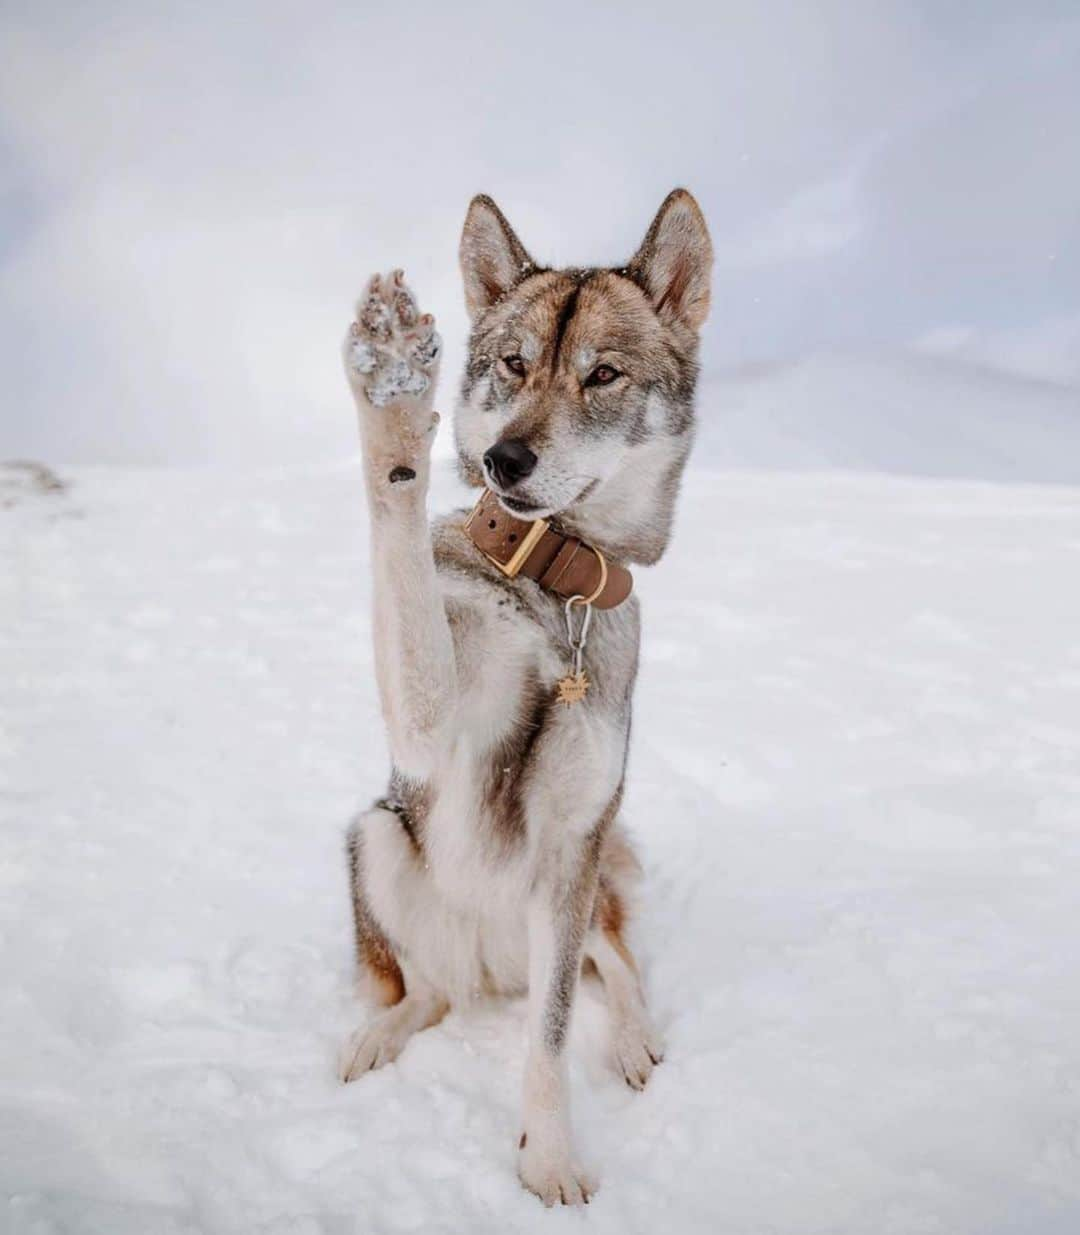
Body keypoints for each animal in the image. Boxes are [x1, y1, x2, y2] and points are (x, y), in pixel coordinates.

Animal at [336, 187, 706, 1200]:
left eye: (603, 374)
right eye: (512, 363)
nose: (504, 460)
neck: (553, 589)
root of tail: (494, 966)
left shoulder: (573, 842)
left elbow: (550, 1035)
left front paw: (548, 1162)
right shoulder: (424, 728)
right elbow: (399, 545)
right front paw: (393, 391)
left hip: (585, 885)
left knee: (613, 965)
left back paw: (634, 1039)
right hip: (379, 834)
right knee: (426, 993)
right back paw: (376, 1035)